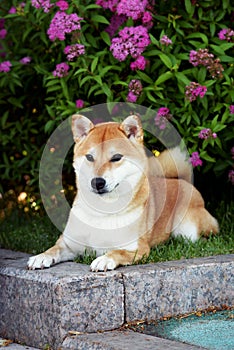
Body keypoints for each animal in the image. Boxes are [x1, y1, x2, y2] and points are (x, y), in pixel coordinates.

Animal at [27, 115, 219, 270]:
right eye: (89, 157)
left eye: (116, 157)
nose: (97, 182)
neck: (102, 211)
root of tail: (182, 181)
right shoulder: (68, 243)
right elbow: (54, 249)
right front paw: (41, 257)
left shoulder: (137, 248)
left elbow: (117, 252)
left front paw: (104, 259)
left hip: (187, 229)